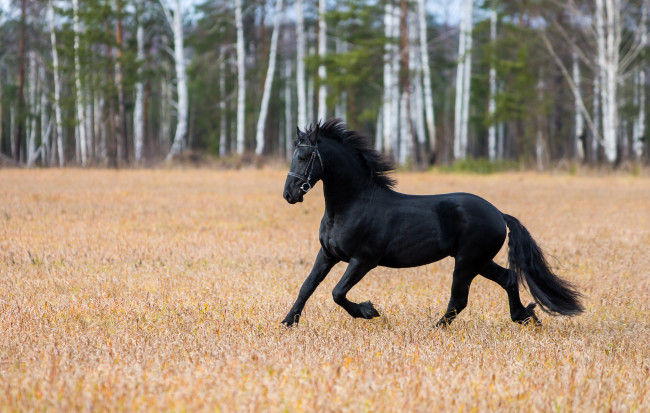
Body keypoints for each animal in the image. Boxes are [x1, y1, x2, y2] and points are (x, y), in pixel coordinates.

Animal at [278, 118, 584, 326]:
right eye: (293, 155)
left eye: (304, 156)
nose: (289, 194)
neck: (351, 206)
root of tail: (499, 214)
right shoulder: (328, 253)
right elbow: (307, 286)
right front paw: (288, 322)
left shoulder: (363, 260)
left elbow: (337, 292)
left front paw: (368, 311)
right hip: (479, 261)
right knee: (508, 278)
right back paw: (524, 317)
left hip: (467, 262)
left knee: (459, 298)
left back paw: (435, 329)